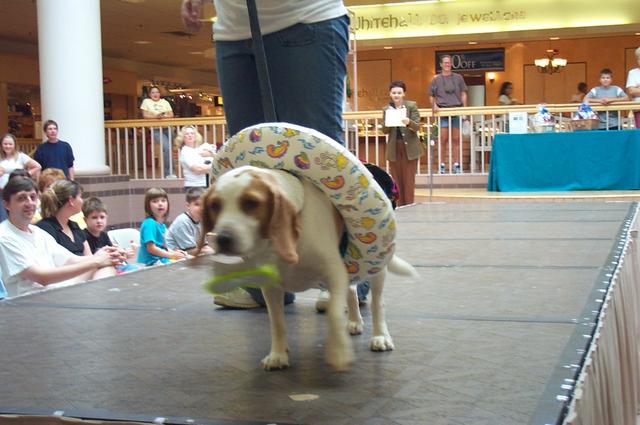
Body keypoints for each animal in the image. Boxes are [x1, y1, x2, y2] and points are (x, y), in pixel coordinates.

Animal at [198, 165, 417, 371]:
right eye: (215, 205)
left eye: (251, 203)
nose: (223, 239)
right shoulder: (271, 288)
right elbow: (277, 323)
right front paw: (278, 355)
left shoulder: (334, 274)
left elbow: (334, 314)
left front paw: (338, 352)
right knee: (352, 292)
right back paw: (355, 321)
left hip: (377, 271)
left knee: (377, 304)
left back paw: (380, 336)